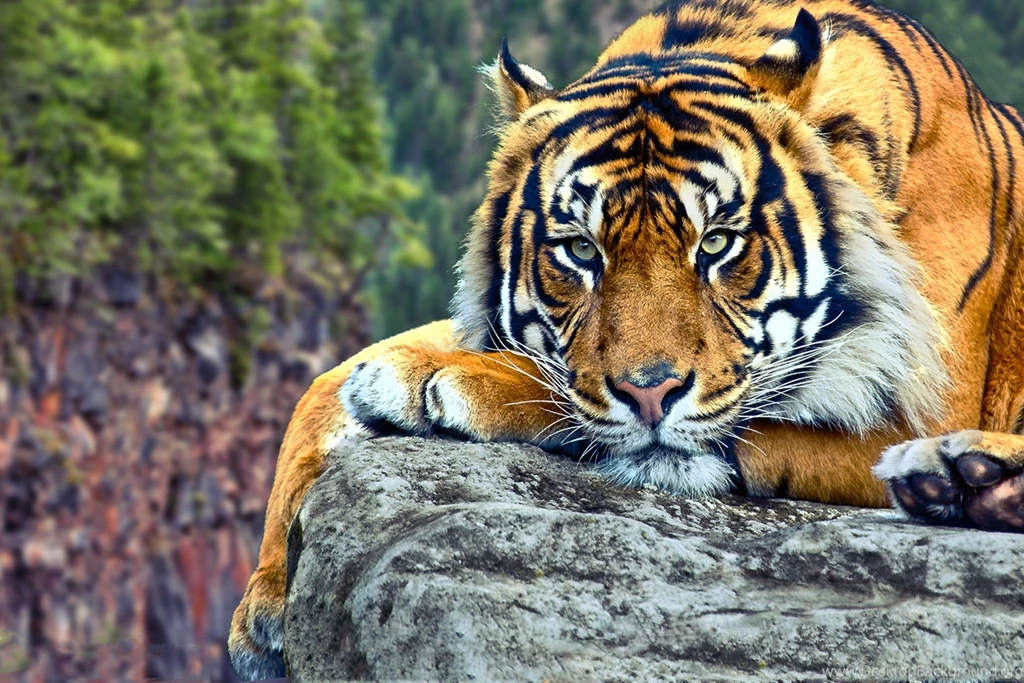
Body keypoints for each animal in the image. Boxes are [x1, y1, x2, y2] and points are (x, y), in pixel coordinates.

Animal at [229, 0, 1024, 678]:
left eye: (718, 242)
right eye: (582, 249)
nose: (651, 393)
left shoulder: (921, 399)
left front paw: (433, 379)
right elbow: (324, 381)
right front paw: (266, 599)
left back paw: (962, 474)